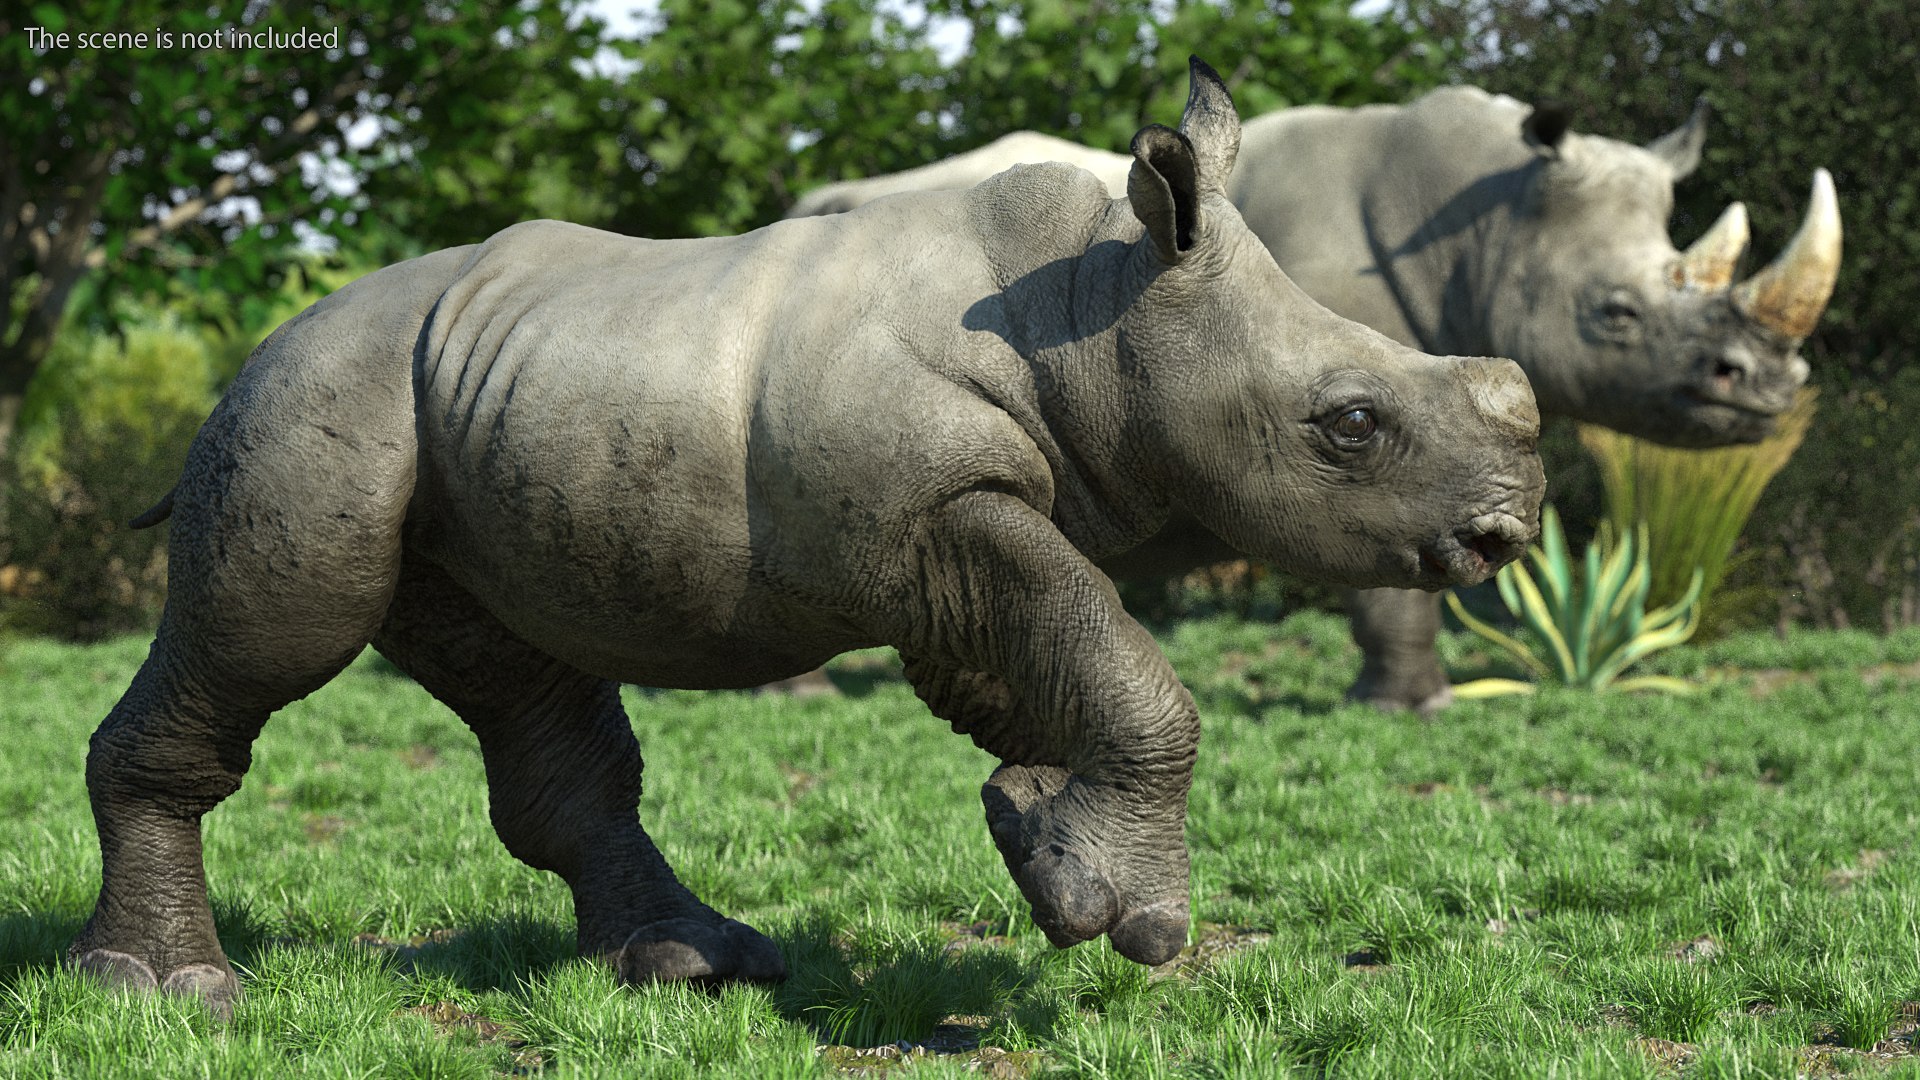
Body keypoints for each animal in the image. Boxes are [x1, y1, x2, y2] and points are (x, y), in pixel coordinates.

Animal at [69, 60, 1543, 1013]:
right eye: (1349, 423)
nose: (1507, 536)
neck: (1096, 309)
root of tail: (261, 349)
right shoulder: (935, 509)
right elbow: (1127, 668)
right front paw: (1123, 917)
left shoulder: (958, 521)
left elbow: (1056, 659)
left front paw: (1039, 838)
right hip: (316, 402)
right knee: (277, 635)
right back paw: (170, 990)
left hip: (471, 417)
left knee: (521, 683)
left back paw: (693, 966)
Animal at [791, 88, 1842, 713]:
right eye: (1615, 314)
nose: (1772, 388)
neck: (1481, 224)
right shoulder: (1361, 447)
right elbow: (1391, 577)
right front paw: (1412, 708)